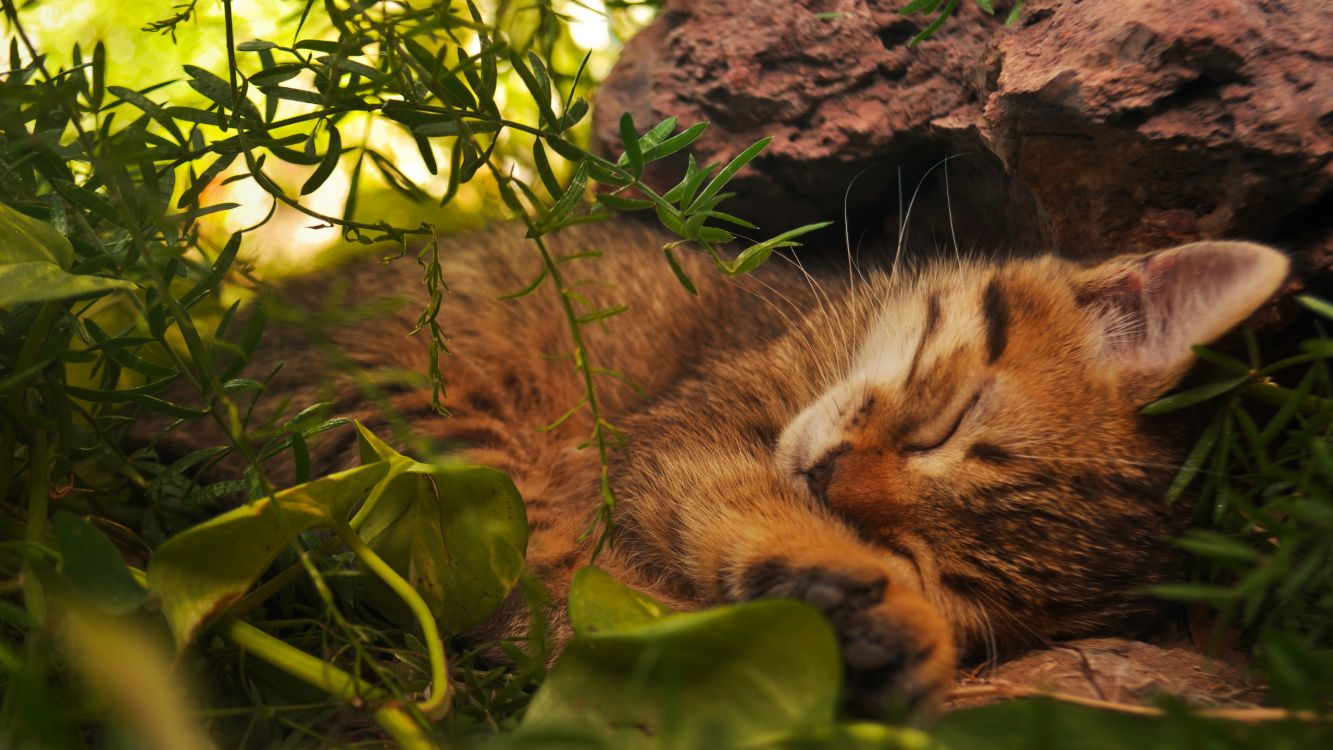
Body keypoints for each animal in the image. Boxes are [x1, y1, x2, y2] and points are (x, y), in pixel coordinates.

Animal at [158, 221, 1290, 714]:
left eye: (944, 570)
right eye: (949, 423)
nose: (829, 487)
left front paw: (882, 620)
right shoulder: (680, 437)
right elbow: (718, 508)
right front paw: (869, 610)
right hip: (427, 434)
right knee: (538, 590)